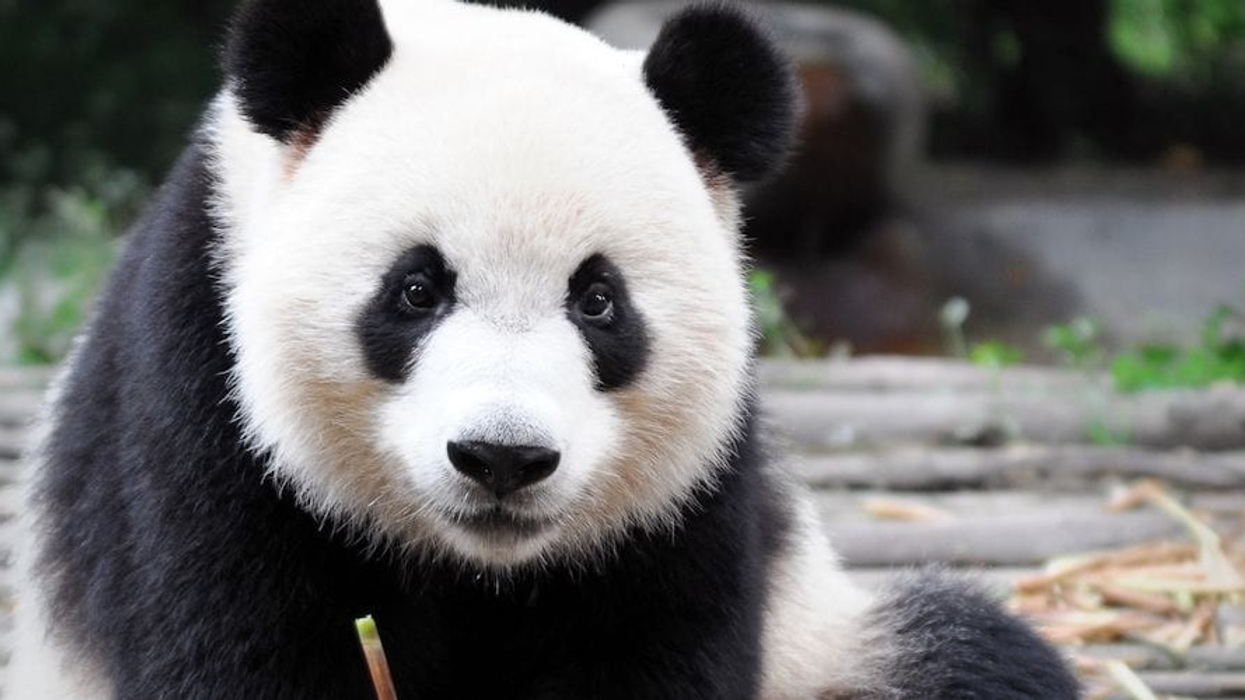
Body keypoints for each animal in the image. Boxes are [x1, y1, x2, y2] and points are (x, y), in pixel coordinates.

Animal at [10, 0, 1078, 698]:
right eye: (416, 289)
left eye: (598, 302)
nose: (501, 458)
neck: (478, 565)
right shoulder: (199, 392)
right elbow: (242, 647)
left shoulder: (685, 499)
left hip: (828, 642)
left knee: (973, 661)